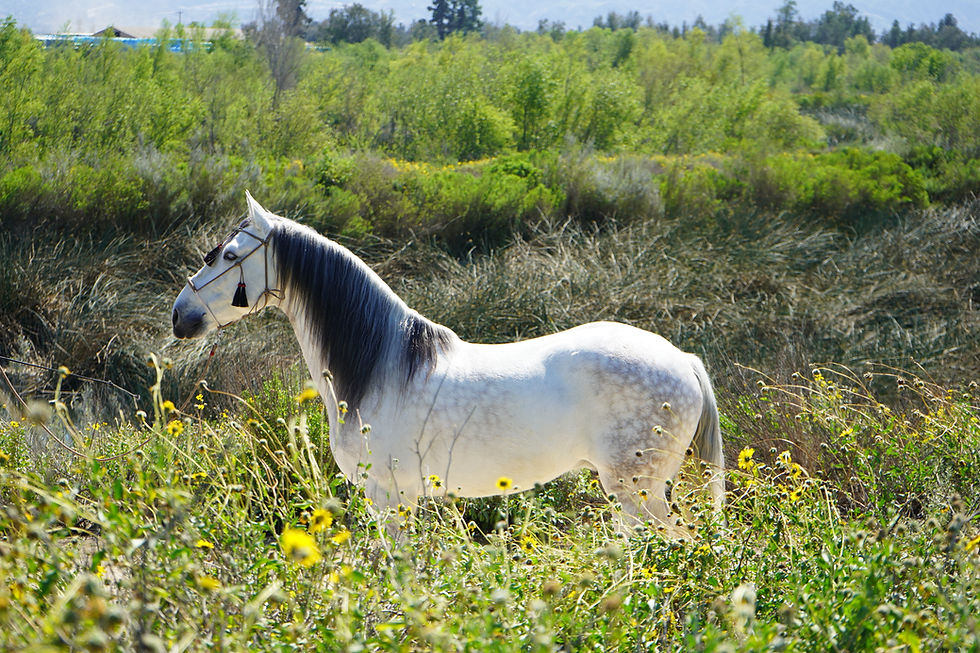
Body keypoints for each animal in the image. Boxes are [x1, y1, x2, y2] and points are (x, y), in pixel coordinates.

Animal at [171, 193, 725, 537]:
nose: (180, 316)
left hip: (637, 493)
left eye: (228, 255)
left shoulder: (388, 496)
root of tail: (685, 360)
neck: (380, 363)